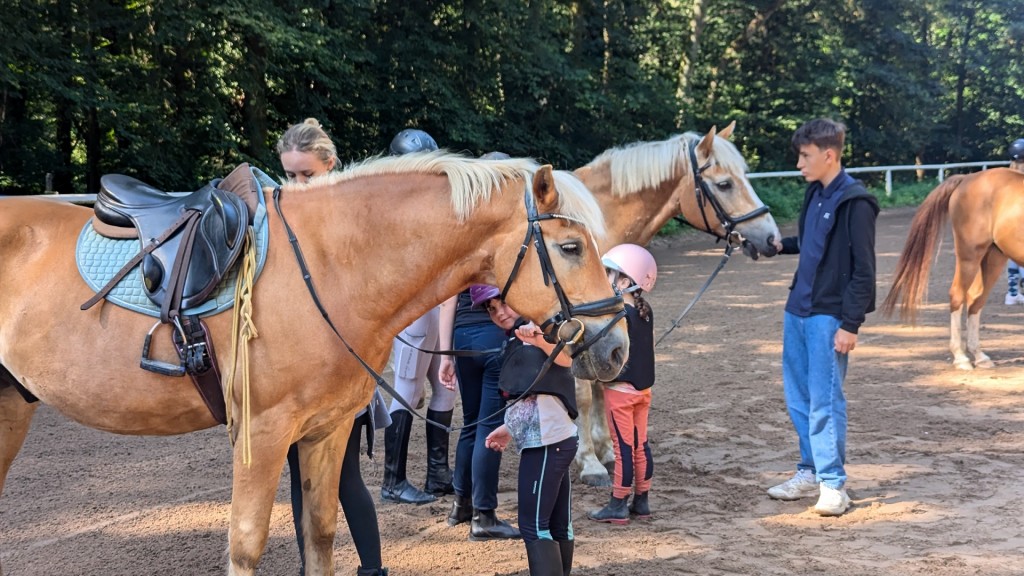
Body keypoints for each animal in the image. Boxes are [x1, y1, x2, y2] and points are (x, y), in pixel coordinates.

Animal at [0, 152, 626, 573]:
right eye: (571, 248)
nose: (616, 345)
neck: (327, 268)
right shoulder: (260, 433)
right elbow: (246, 545)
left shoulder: (326, 430)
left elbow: (321, 533)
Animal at [569, 120, 782, 483]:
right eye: (724, 184)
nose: (772, 239)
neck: (596, 227)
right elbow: (584, 395)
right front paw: (590, 463)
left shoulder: (606, 329)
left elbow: (602, 386)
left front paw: (606, 451)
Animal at [880, 168, 1024, 368]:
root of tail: (967, 178)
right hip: (969, 256)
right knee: (958, 295)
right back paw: (961, 357)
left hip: (993, 257)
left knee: (975, 299)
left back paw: (979, 356)